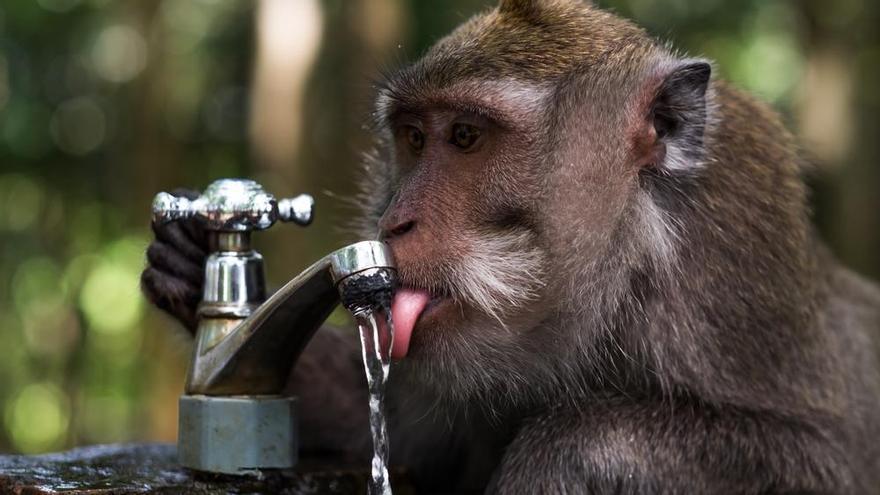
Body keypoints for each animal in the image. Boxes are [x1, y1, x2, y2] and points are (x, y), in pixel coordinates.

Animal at [141, 0, 880, 495]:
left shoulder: (734, 273)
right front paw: (190, 266)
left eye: (466, 136)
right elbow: (404, 432)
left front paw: (577, 452)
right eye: (414, 137)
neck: (625, 275)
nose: (396, 221)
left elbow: (819, 460)